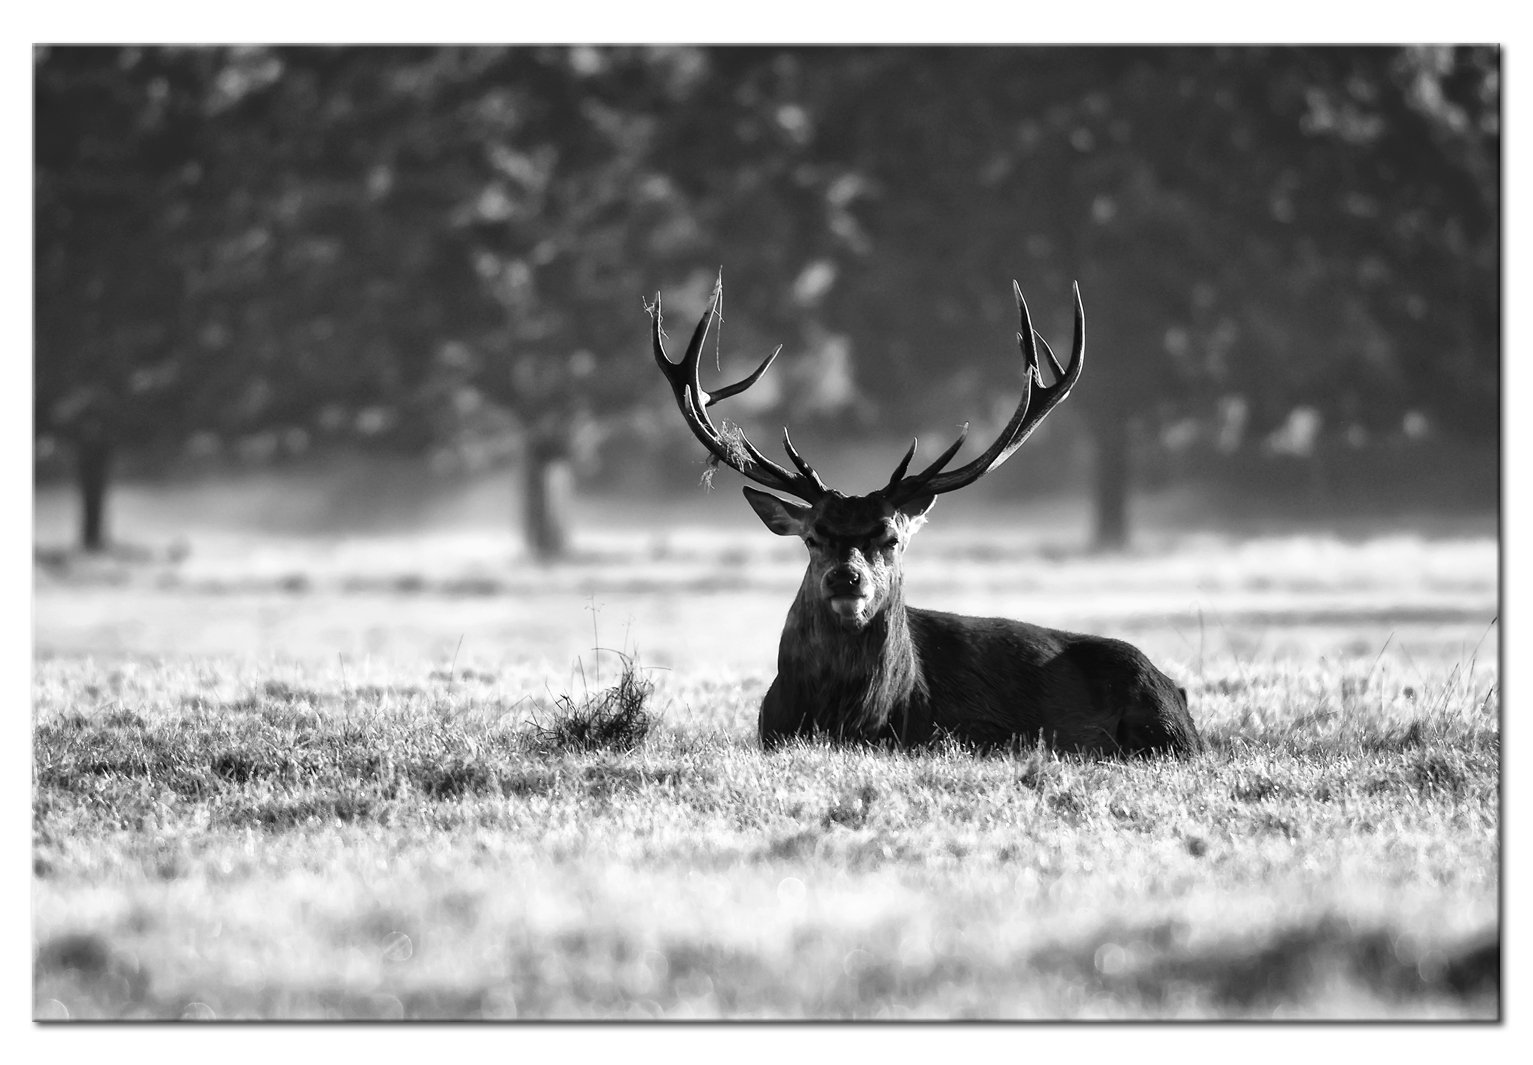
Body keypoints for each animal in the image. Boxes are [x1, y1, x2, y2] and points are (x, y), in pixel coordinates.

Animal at [649, 278, 1202, 757]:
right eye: (813, 536)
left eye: (891, 538)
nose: (846, 579)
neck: (857, 719)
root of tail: (1177, 691)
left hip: (1160, 724)